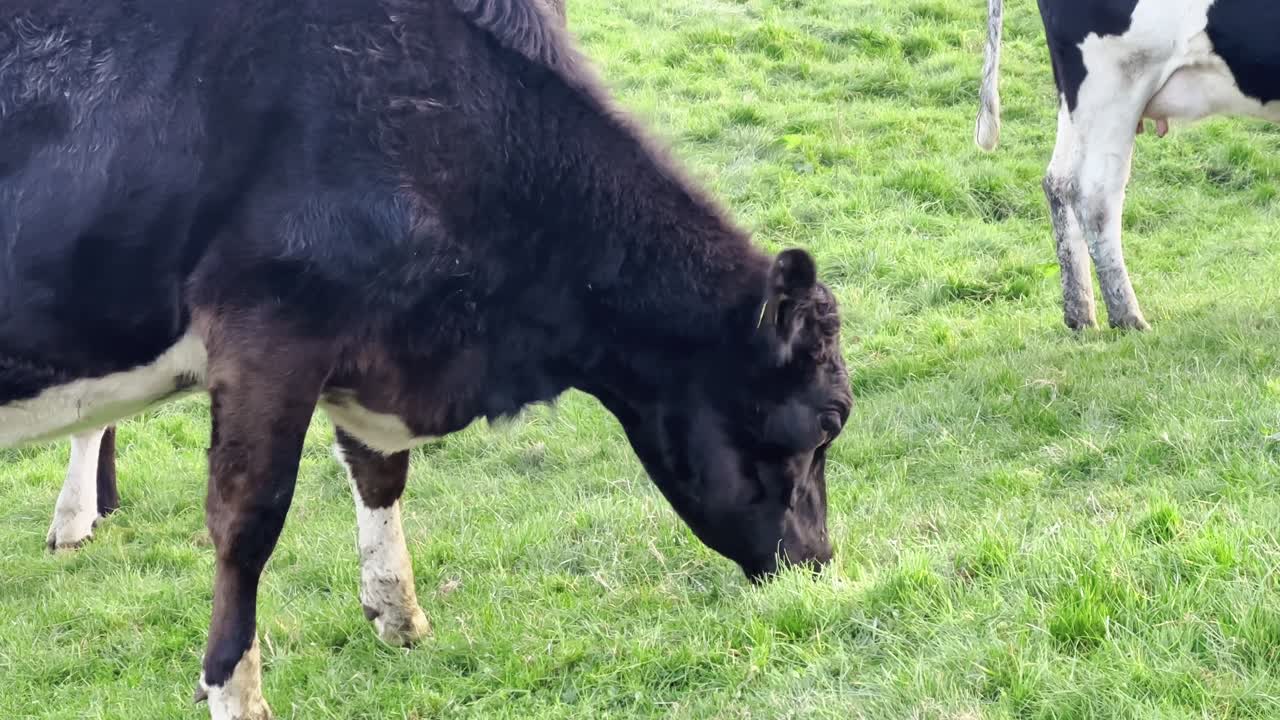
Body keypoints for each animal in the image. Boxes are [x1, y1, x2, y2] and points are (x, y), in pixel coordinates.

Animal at [975, 0, 1280, 331]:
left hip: (1078, 100)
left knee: (1058, 181)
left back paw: (1080, 316)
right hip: (1114, 84)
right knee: (1094, 196)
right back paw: (1128, 318)